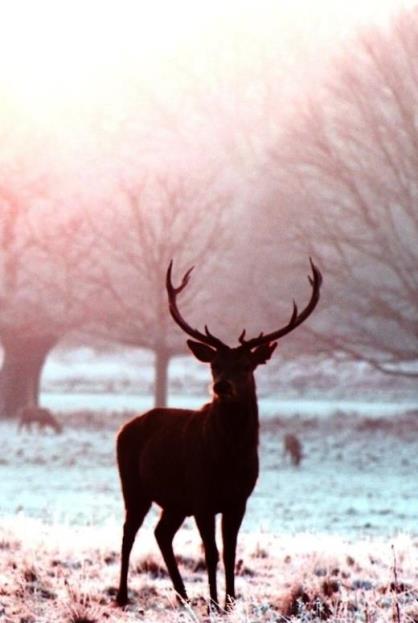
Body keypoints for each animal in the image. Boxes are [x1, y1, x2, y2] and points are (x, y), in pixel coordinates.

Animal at [116, 258, 322, 608]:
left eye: (247, 365)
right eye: (214, 364)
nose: (221, 386)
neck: (229, 457)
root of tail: (123, 428)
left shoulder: (238, 499)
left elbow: (229, 553)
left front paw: (229, 602)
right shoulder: (201, 496)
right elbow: (210, 553)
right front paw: (213, 603)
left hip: (175, 501)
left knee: (161, 533)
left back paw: (183, 595)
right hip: (134, 486)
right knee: (129, 532)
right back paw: (122, 595)